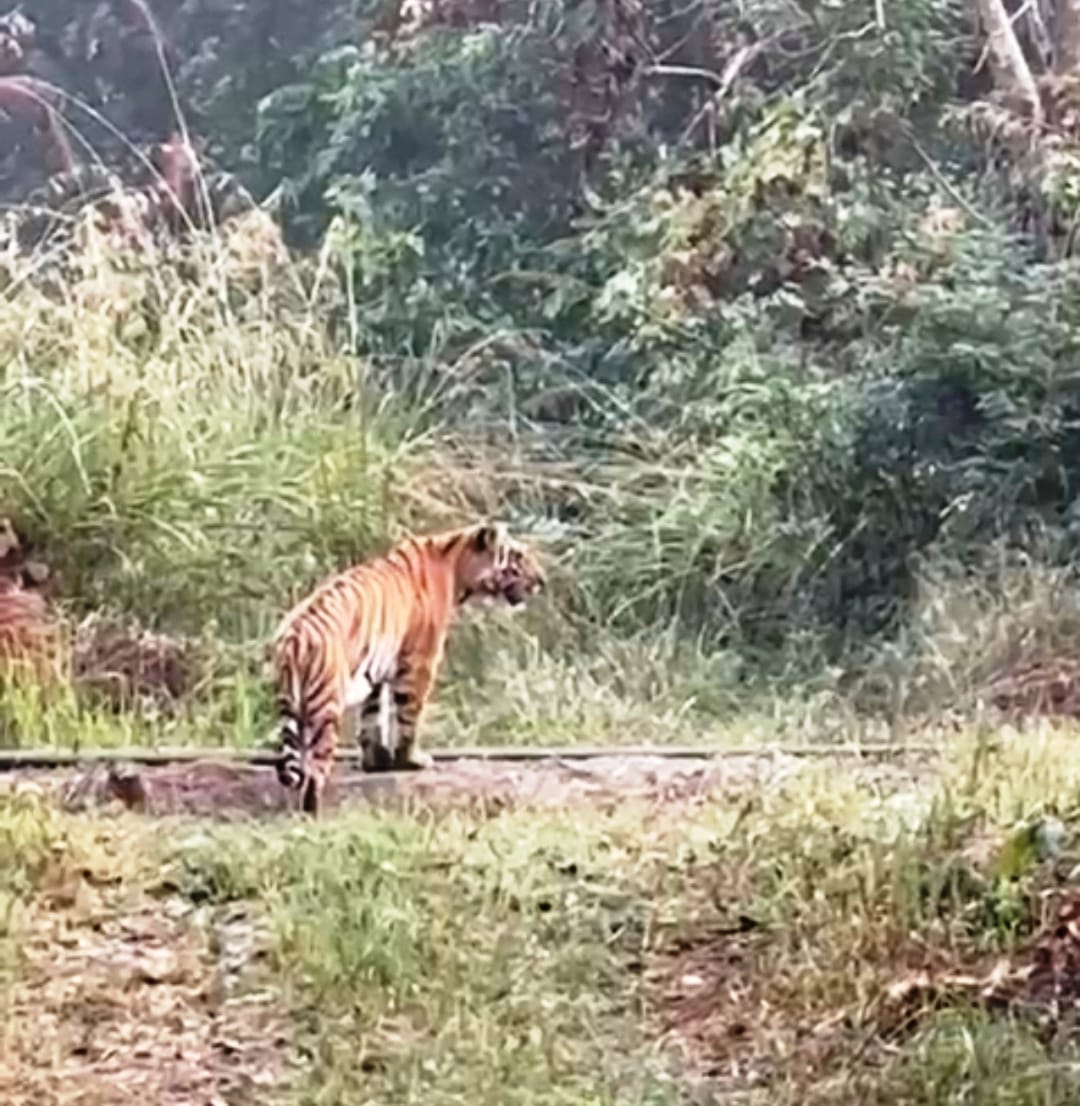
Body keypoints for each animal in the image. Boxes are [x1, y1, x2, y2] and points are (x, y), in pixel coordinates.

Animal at [272, 522, 545, 816]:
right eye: (518, 556)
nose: (542, 581)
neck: (456, 566)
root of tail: (294, 637)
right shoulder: (420, 661)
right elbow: (408, 716)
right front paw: (411, 760)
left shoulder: (377, 669)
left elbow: (372, 716)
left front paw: (377, 762)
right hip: (325, 705)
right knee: (315, 768)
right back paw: (310, 811)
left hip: (292, 705)